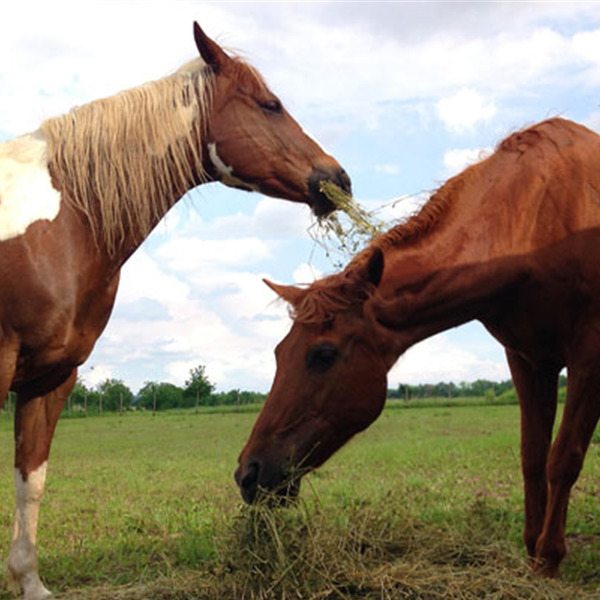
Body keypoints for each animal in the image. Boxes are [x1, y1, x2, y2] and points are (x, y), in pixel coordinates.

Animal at [0, 23, 350, 600]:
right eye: (270, 104)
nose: (338, 179)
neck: (61, 222)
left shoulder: (51, 376)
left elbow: (31, 480)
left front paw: (29, 580)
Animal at [236, 116, 600, 576]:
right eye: (278, 354)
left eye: (323, 355)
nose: (248, 473)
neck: (540, 216)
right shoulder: (528, 359)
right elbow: (533, 457)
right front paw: (533, 552)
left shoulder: (588, 359)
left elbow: (563, 459)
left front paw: (549, 560)